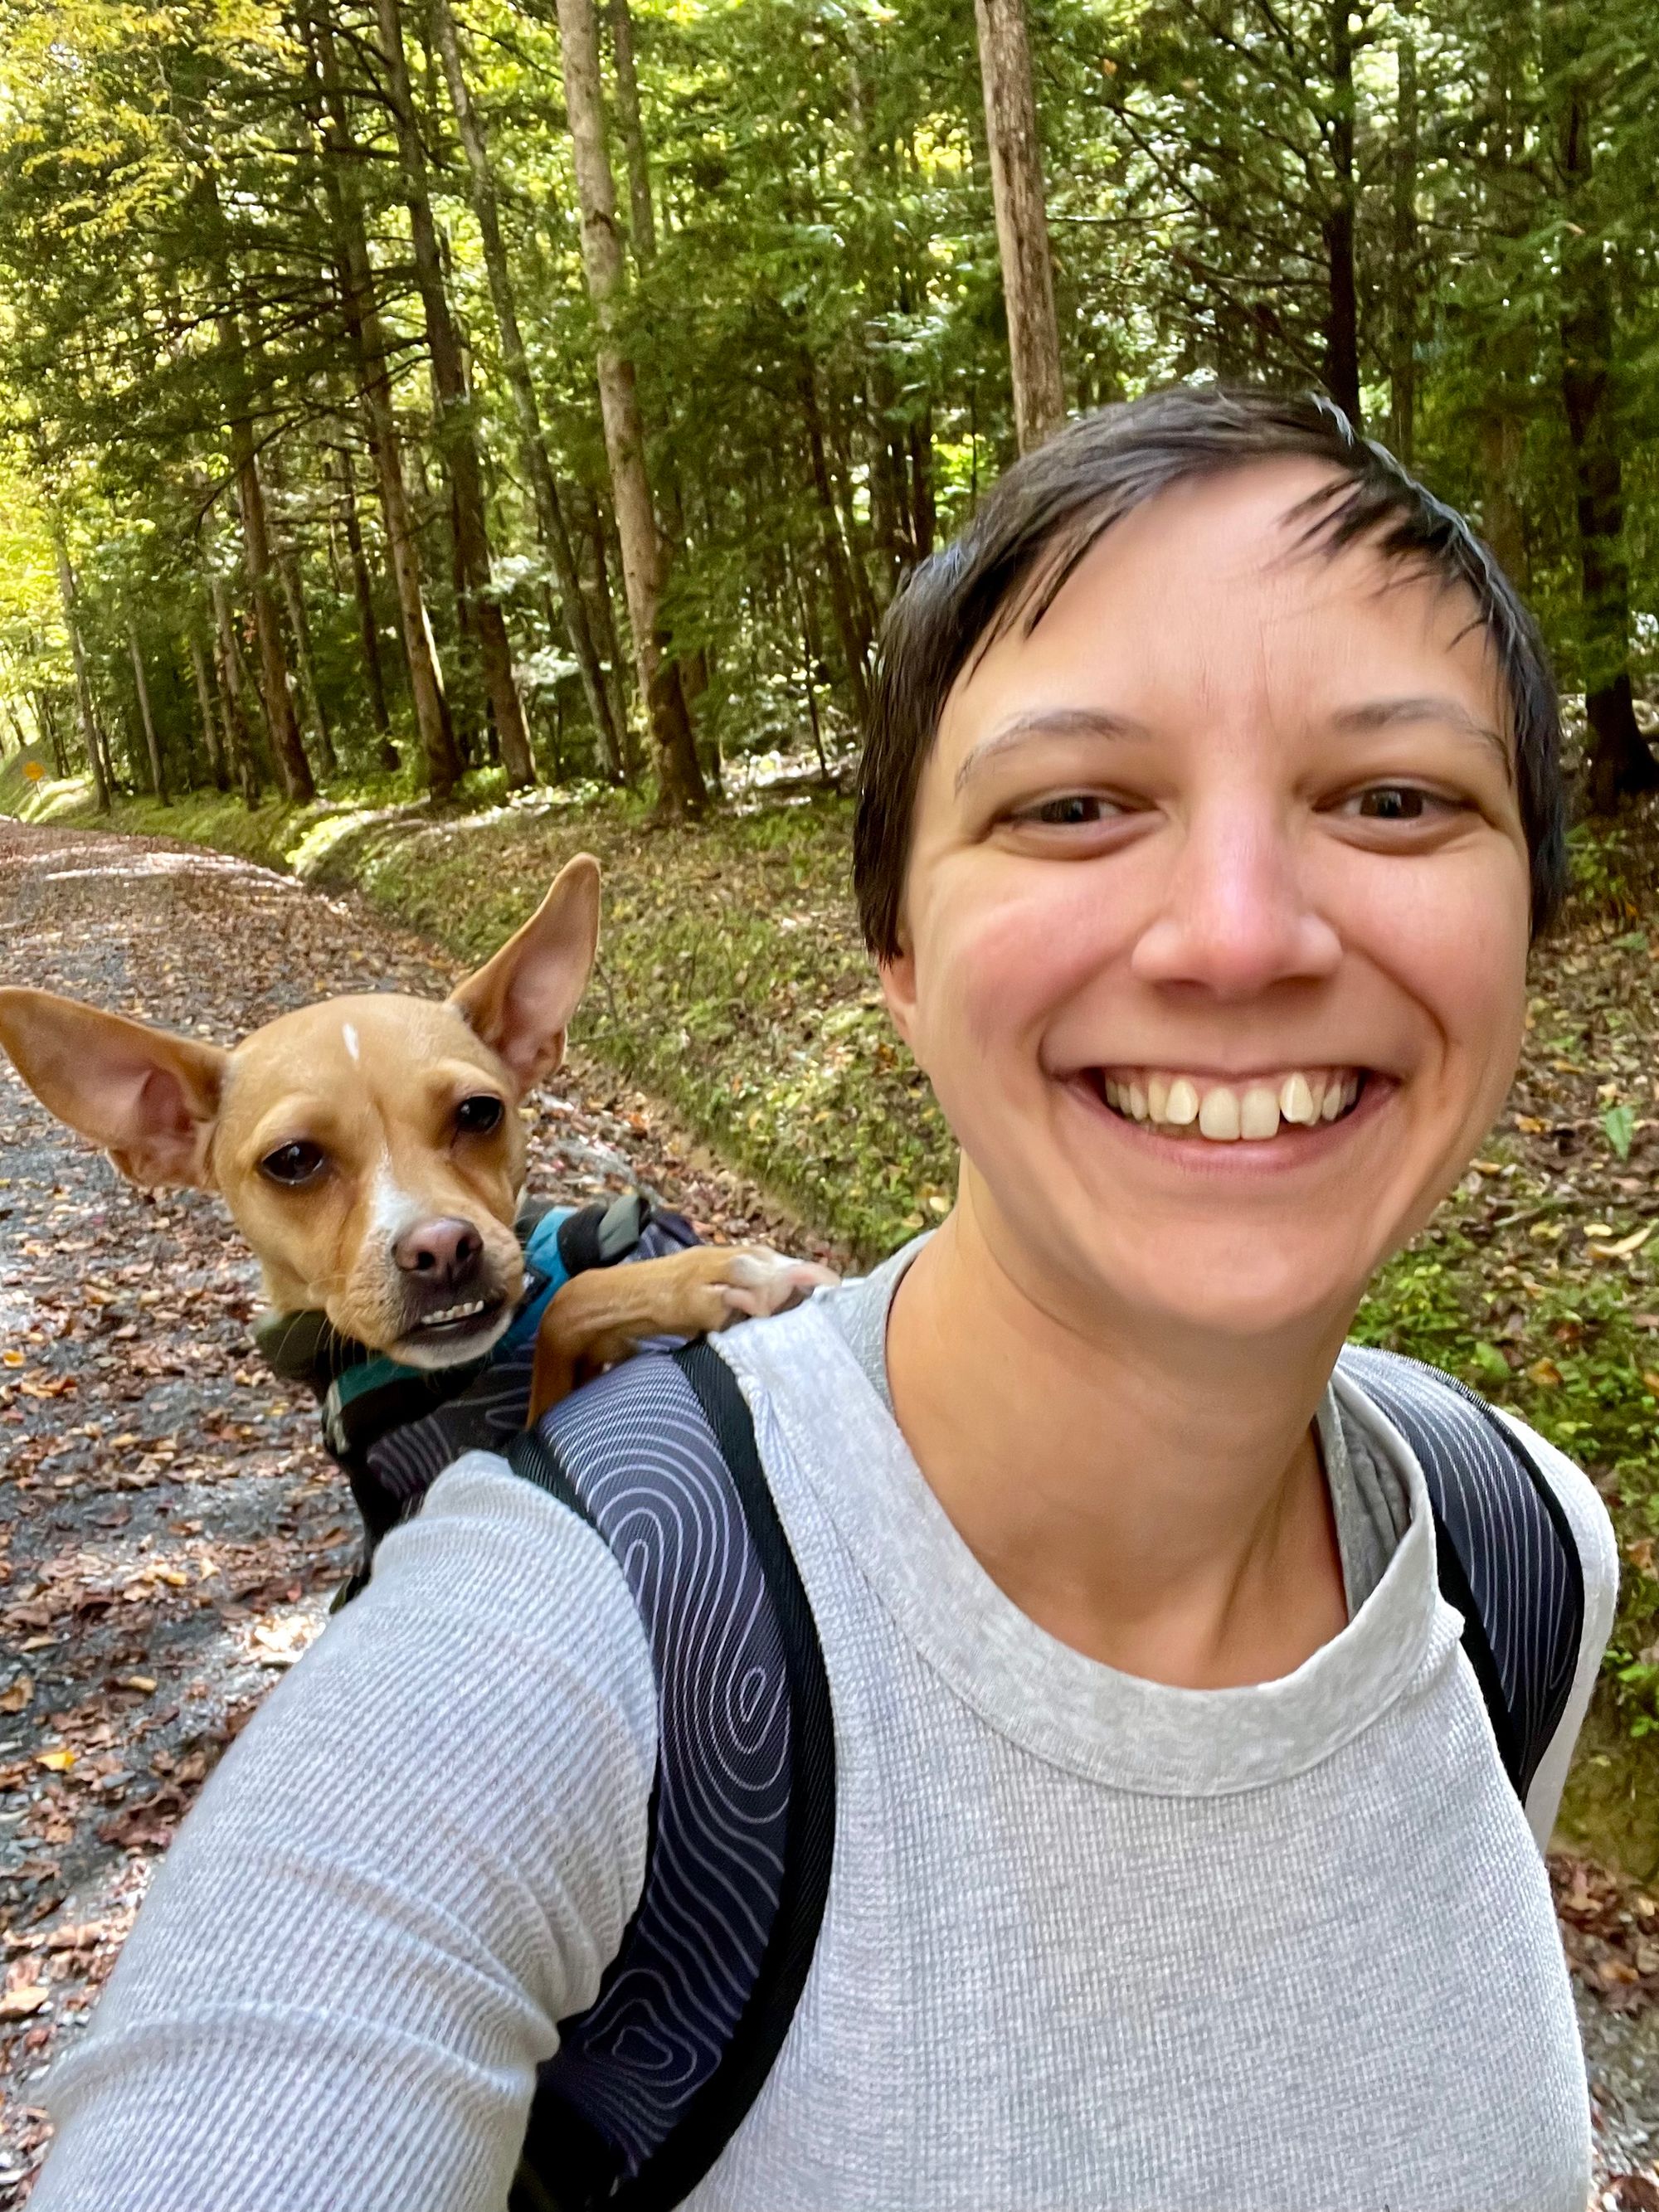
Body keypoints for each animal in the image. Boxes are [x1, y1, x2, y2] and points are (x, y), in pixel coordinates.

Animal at [0, 854, 835, 1430]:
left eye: (479, 1112)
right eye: (292, 1161)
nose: (441, 1249)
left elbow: (568, 1304)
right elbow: (568, 1310)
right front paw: (717, 1274)